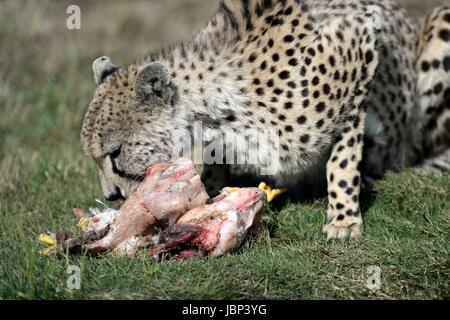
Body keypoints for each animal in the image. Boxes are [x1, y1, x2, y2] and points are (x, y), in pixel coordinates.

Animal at [80, 0, 450, 240]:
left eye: (114, 153)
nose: (111, 196)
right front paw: (210, 195)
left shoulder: (360, 43)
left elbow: (342, 159)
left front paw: (344, 219)